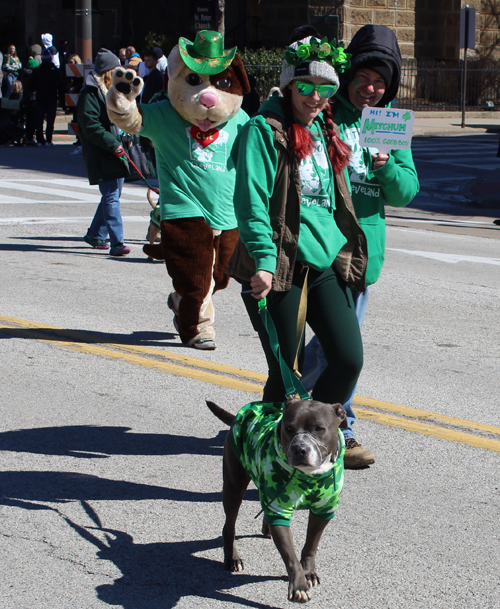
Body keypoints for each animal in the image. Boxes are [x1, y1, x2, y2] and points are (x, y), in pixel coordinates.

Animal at [206, 396, 344, 600]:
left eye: (319, 428)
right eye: (289, 428)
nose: (299, 449)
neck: (309, 476)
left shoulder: (323, 511)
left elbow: (311, 544)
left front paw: (309, 572)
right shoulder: (279, 510)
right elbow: (290, 556)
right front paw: (299, 585)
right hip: (233, 486)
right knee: (229, 525)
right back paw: (232, 558)